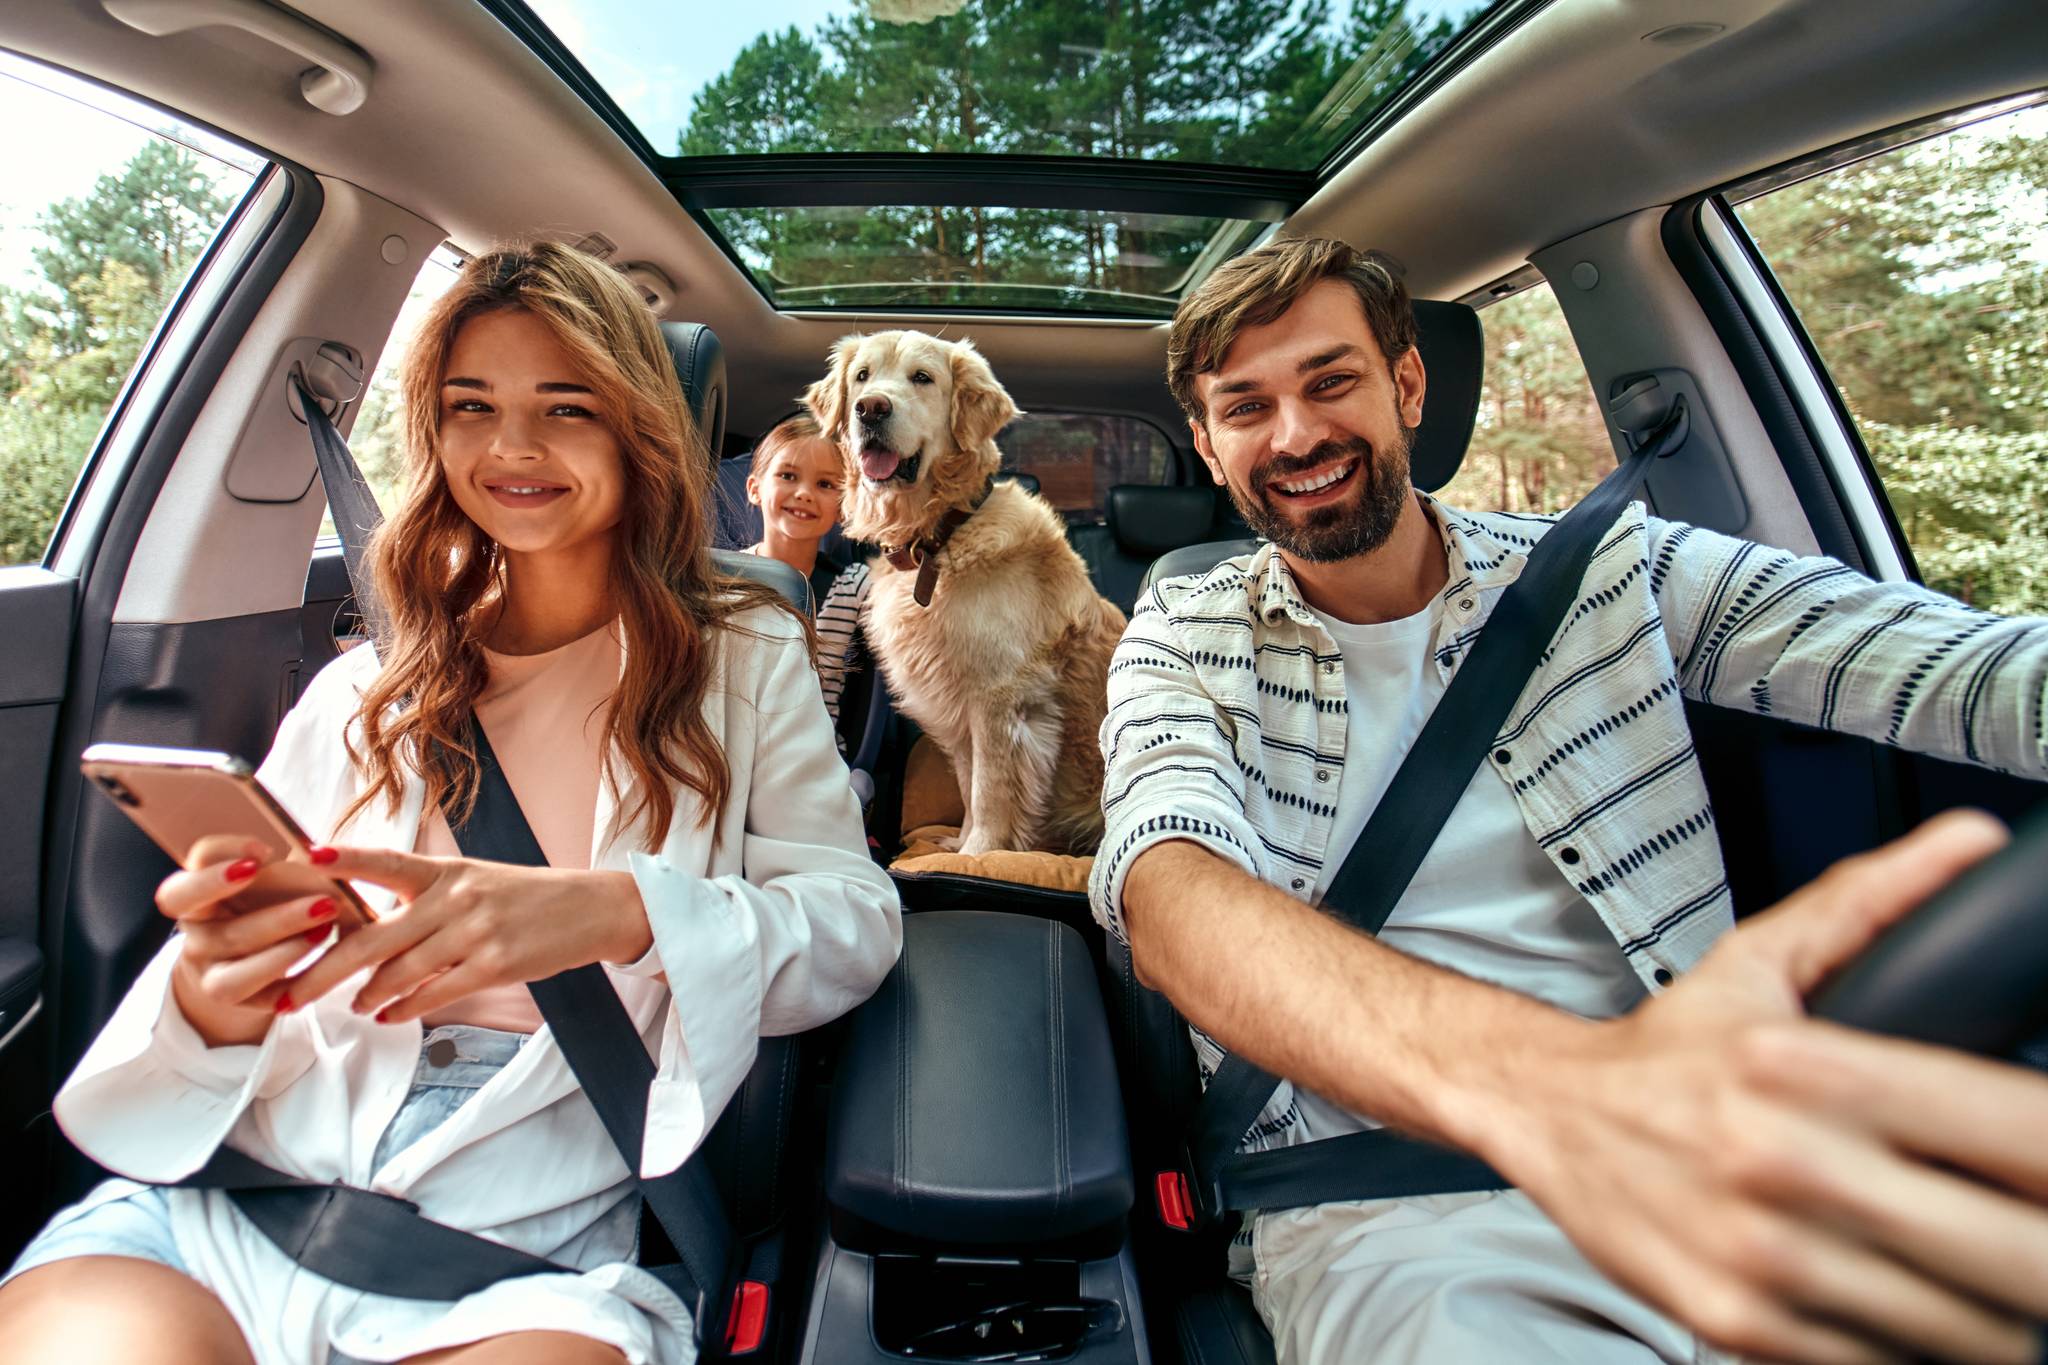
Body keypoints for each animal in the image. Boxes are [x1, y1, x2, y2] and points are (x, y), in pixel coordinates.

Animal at [802, 331, 1122, 855]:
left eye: (922, 378)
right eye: (862, 376)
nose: (871, 408)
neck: (937, 537)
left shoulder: (998, 696)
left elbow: (990, 788)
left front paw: (980, 853)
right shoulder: (955, 698)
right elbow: (969, 785)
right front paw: (962, 842)